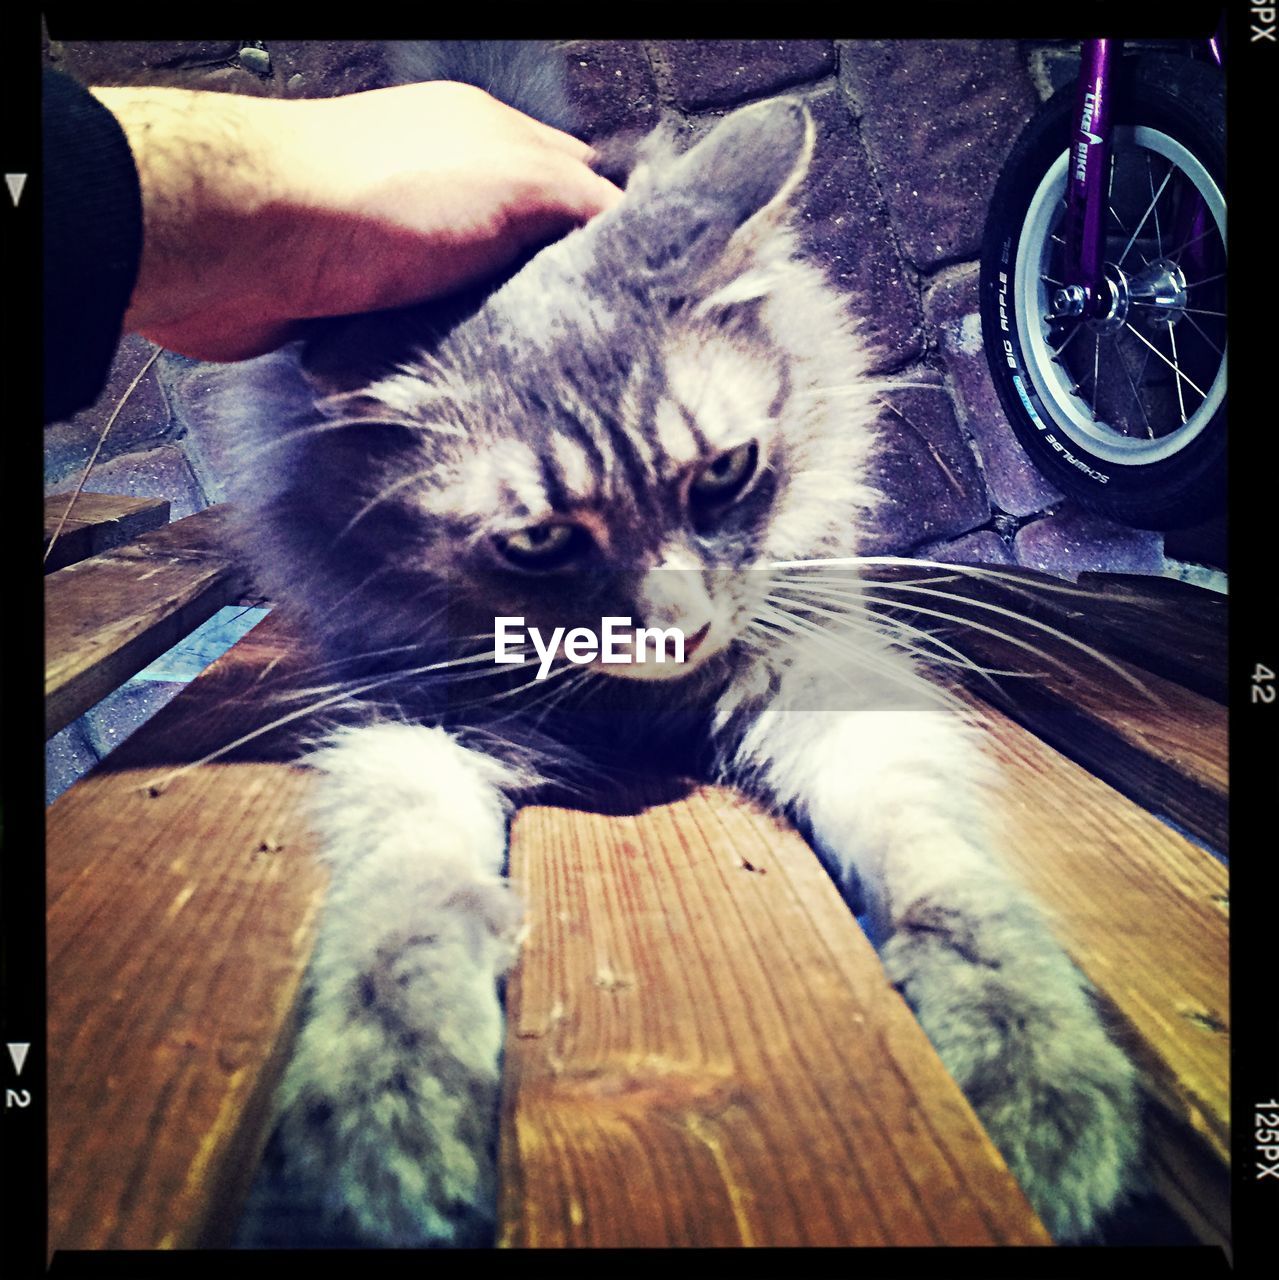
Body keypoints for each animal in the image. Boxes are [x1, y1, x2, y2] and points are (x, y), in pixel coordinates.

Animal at [217, 42, 1142, 1249]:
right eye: (539, 541)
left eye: (724, 475)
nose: (679, 627)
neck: (640, 712)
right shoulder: (413, 721)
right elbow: (407, 898)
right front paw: (392, 1099)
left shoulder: (822, 674)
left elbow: (934, 864)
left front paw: (1027, 1054)